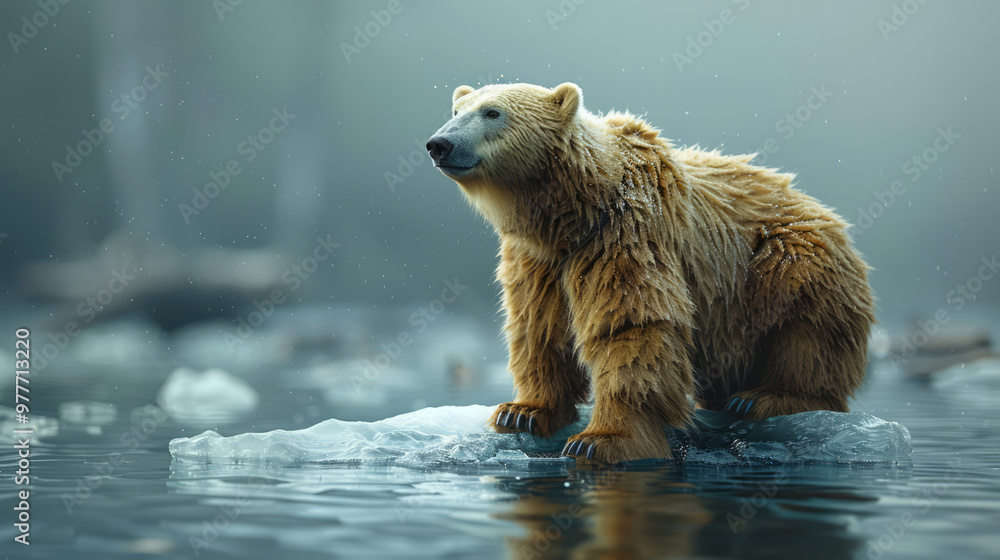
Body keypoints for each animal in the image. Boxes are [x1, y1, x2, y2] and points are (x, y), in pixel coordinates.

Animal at [426, 82, 875, 463]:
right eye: (456, 109)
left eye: (492, 112)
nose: (439, 144)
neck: (573, 210)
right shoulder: (539, 259)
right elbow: (539, 327)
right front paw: (520, 412)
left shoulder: (628, 231)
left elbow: (632, 324)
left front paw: (601, 440)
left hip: (787, 262)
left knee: (807, 335)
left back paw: (766, 398)